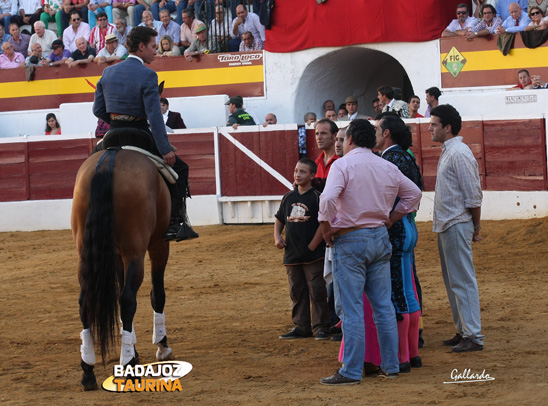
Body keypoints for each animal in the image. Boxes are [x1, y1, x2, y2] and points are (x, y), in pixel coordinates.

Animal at [71, 147, 176, 390]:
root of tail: (108, 160)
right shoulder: (158, 244)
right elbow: (157, 294)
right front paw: (161, 346)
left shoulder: (117, 255)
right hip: (136, 252)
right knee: (128, 299)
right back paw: (128, 366)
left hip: (86, 252)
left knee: (85, 301)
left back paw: (88, 369)